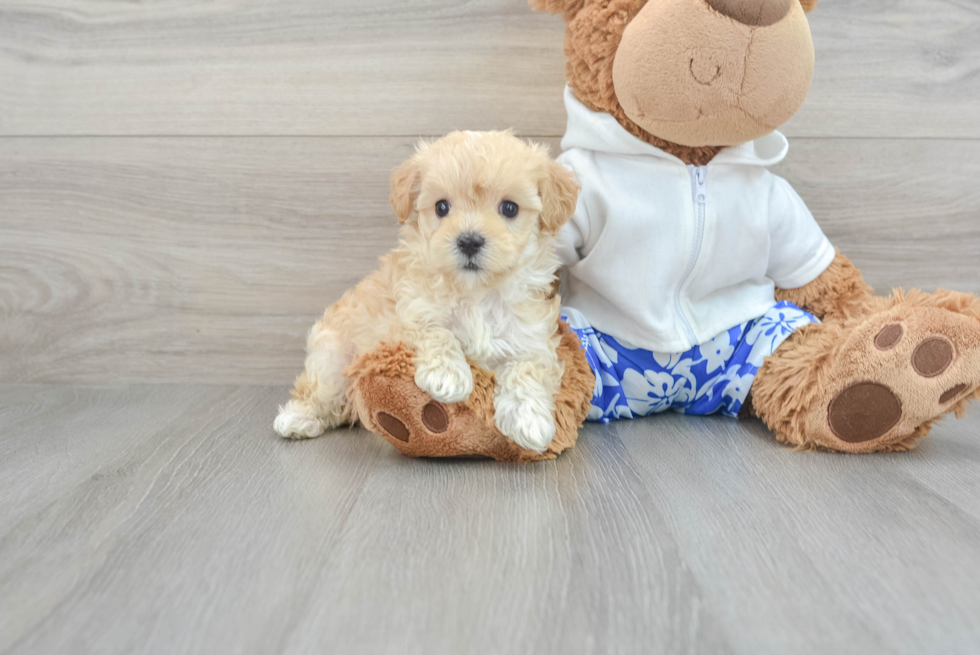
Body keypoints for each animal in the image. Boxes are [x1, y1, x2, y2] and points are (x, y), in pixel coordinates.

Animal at [274, 131, 580, 454]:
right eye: (441, 207)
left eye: (509, 208)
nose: (469, 241)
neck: (476, 293)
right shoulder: (405, 312)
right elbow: (433, 330)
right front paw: (446, 375)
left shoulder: (531, 336)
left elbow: (528, 368)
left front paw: (529, 420)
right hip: (332, 358)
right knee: (319, 392)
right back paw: (298, 418)